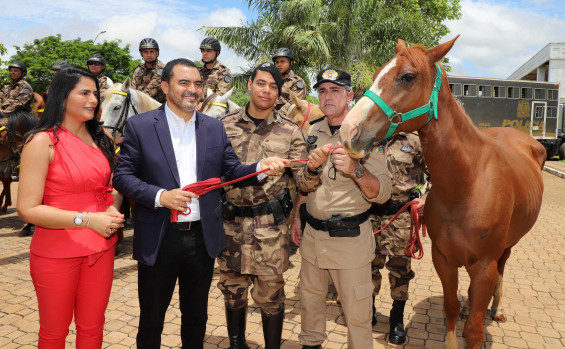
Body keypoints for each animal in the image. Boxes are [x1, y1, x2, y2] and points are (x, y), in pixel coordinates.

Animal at [338, 36, 544, 346]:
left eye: (407, 76)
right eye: (375, 74)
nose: (349, 131)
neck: (466, 186)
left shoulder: (484, 266)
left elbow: (473, 330)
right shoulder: (443, 260)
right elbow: (450, 308)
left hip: (507, 247)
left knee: (502, 271)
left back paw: (496, 309)